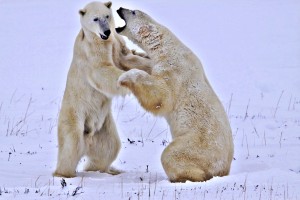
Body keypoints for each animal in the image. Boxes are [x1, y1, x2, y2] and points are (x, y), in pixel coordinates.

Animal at [53, 1, 152, 177]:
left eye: (107, 16)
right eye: (95, 18)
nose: (106, 31)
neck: (100, 39)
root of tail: (88, 136)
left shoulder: (116, 42)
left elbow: (128, 56)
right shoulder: (91, 49)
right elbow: (102, 70)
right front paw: (129, 78)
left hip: (103, 128)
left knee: (109, 147)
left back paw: (108, 171)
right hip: (74, 116)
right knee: (71, 147)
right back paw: (63, 174)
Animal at [115, 8, 234, 183]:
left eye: (133, 12)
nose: (120, 8)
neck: (167, 47)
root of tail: (225, 168)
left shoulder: (175, 69)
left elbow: (161, 95)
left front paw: (125, 77)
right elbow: (146, 65)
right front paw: (126, 54)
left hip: (197, 145)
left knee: (171, 155)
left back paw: (185, 177)